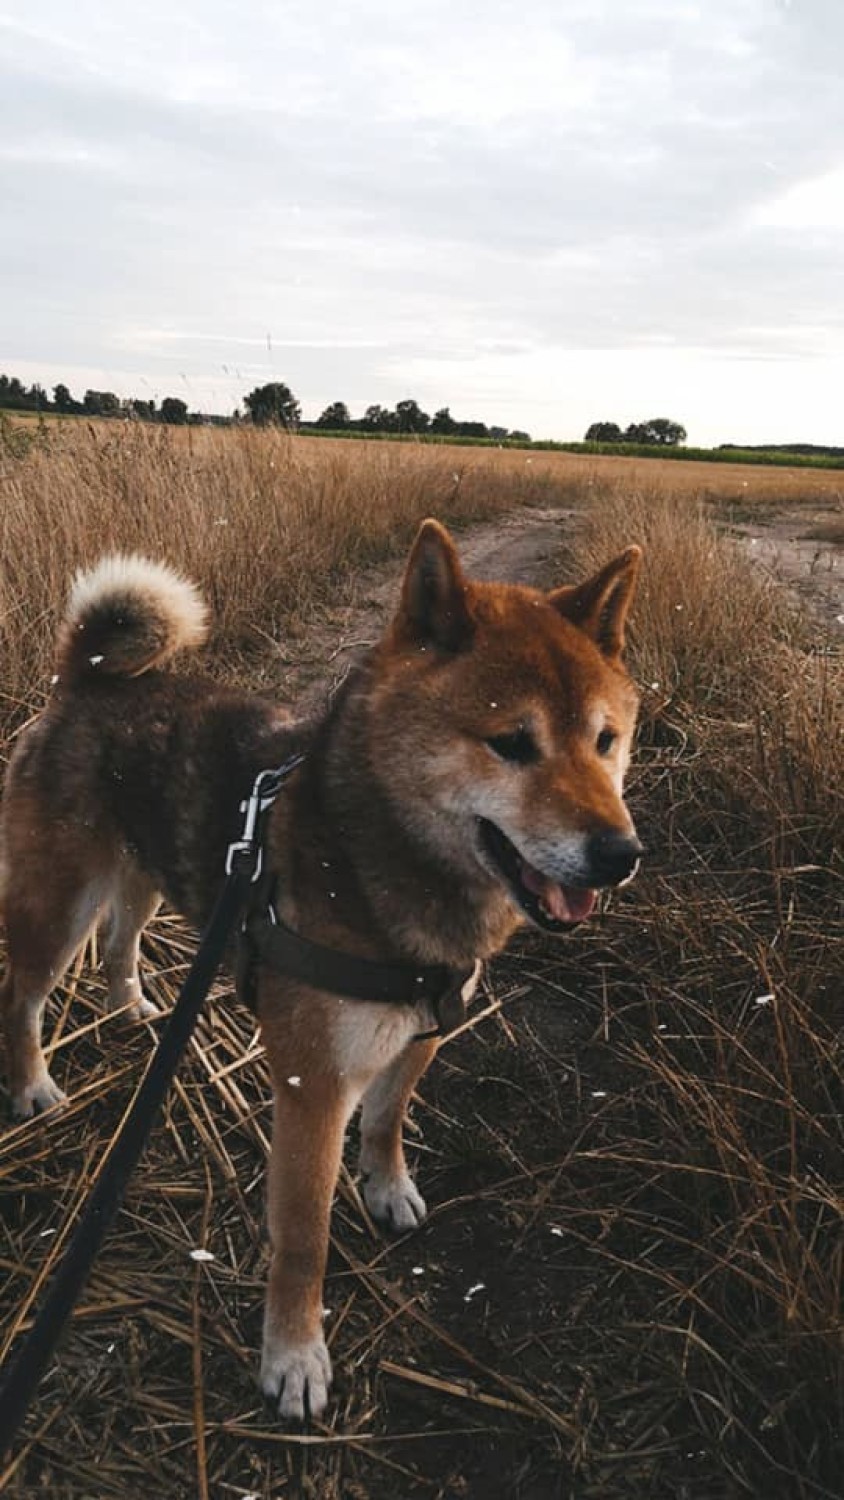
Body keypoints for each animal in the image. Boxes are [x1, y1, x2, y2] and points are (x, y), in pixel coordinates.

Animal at [0, 516, 644, 1416]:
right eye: (512, 745)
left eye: (605, 741)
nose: (621, 855)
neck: (378, 856)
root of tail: (85, 680)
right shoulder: (315, 1088)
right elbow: (305, 1237)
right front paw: (295, 1357)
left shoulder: (420, 1033)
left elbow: (388, 1120)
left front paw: (387, 1187)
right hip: (59, 902)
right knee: (22, 993)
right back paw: (30, 1084)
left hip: (143, 874)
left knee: (119, 941)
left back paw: (133, 1009)